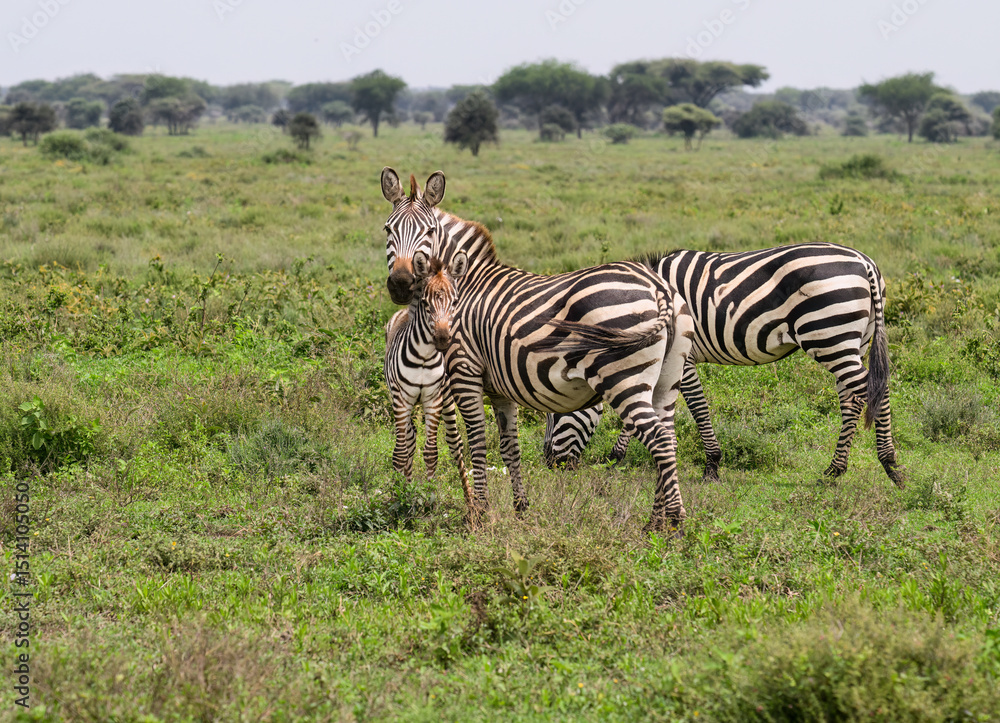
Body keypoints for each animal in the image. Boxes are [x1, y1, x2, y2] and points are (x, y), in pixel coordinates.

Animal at [384, 248, 472, 506]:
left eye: (455, 302)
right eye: (425, 303)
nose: (442, 339)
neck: (423, 357)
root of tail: (405, 310)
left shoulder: (433, 400)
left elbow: (431, 452)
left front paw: (430, 497)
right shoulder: (401, 400)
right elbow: (401, 452)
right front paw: (399, 496)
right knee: (407, 442)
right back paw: (403, 487)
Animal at [544, 244, 904, 488]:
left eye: (558, 410)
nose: (548, 463)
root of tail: (864, 261)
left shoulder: (682, 356)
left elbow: (695, 407)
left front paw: (711, 465)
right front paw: (619, 459)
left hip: (829, 333)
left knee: (872, 390)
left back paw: (891, 466)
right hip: (852, 341)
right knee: (853, 398)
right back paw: (834, 471)